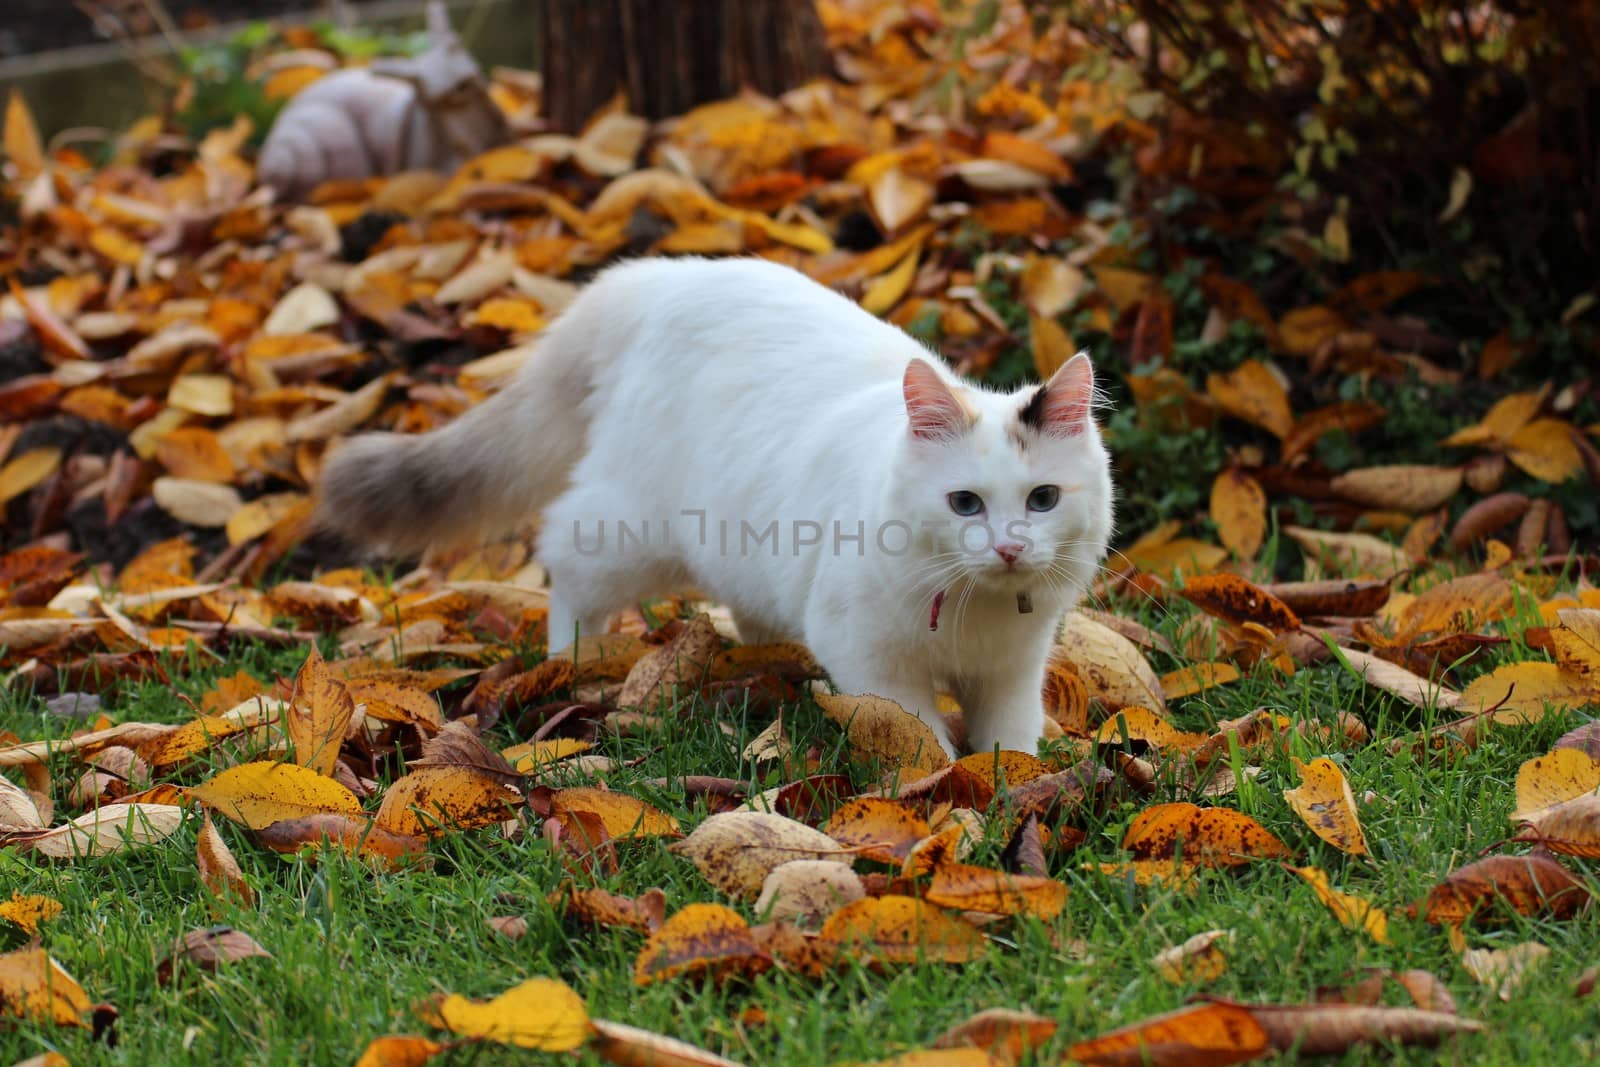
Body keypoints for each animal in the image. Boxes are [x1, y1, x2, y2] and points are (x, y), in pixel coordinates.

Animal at [312, 255, 1113, 758]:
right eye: (965, 503)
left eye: (1042, 500)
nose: (1009, 548)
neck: (976, 614)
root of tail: (662, 276)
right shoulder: (873, 656)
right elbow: (920, 737)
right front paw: (948, 790)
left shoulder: (1012, 670)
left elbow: (1008, 743)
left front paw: (1007, 787)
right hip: (629, 529)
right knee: (564, 561)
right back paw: (571, 660)